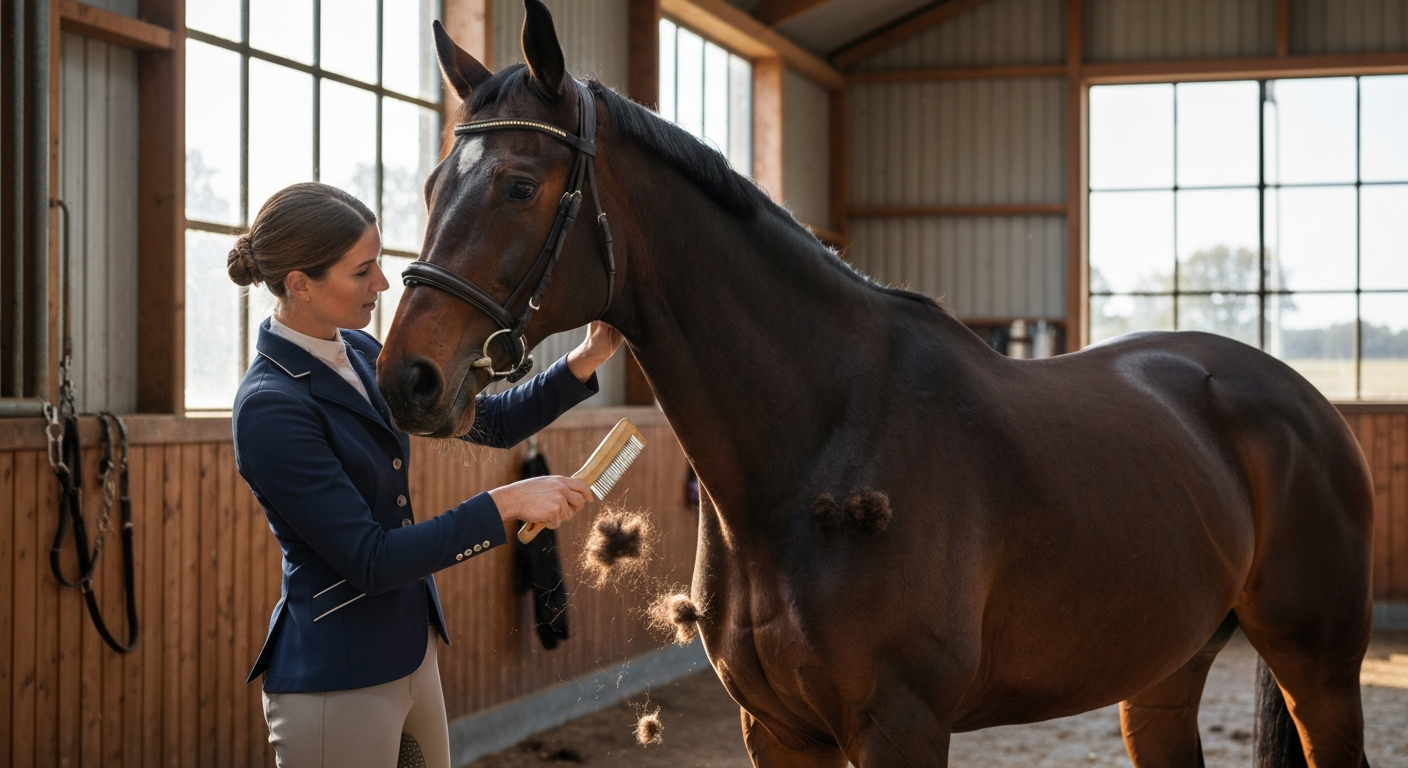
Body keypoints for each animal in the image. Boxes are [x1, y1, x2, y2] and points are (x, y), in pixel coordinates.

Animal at [377, 3, 1375, 765]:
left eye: (518, 184)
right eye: (429, 186)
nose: (406, 379)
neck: (817, 439)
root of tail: (1299, 402)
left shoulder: (902, 725)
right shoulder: (777, 730)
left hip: (1320, 666)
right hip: (1162, 672)